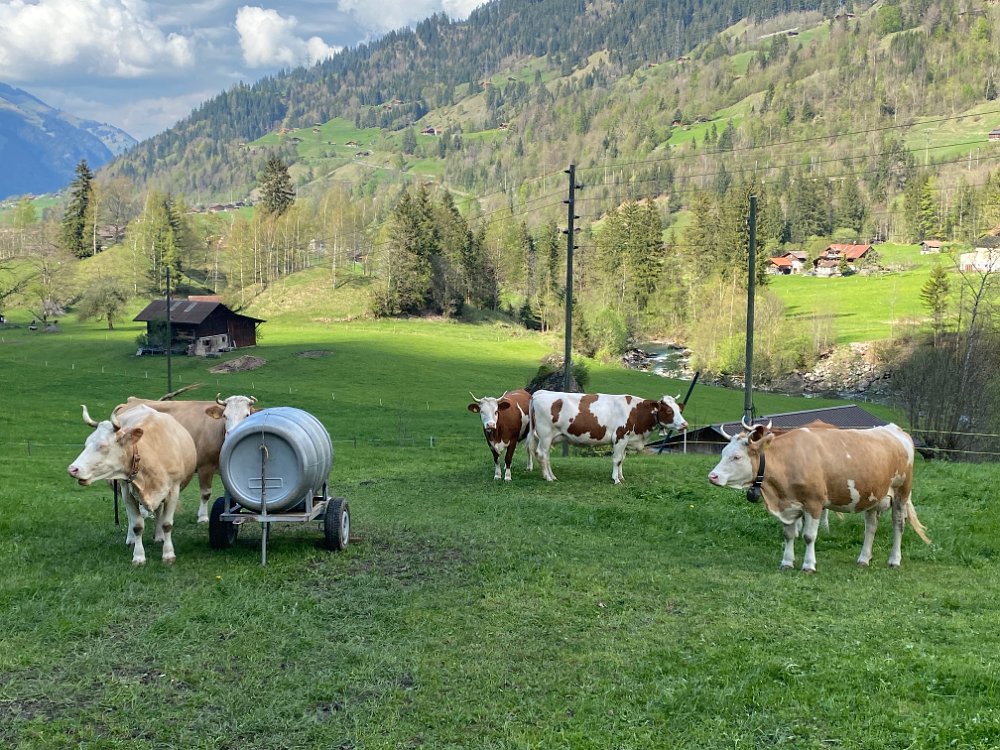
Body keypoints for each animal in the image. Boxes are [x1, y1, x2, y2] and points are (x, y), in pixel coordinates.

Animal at [69, 405, 197, 565]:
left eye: (103, 446)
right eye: (86, 444)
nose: (72, 469)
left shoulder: (173, 490)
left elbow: (167, 524)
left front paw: (168, 554)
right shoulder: (127, 492)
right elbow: (137, 525)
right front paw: (139, 556)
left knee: (159, 512)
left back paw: (159, 536)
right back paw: (131, 540)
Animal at [113, 393, 257, 523]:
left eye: (247, 415)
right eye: (225, 416)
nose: (232, 433)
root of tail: (131, 401)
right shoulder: (205, 466)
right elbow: (206, 493)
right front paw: (203, 517)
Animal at [528, 390, 688, 484]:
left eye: (679, 410)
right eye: (668, 411)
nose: (685, 424)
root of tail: (539, 394)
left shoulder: (626, 439)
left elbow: (622, 459)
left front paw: (621, 476)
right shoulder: (620, 436)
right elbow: (617, 459)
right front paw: (616, 479)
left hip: (549, 437)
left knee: (546, 456)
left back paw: (552, 475)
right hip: (545, 434)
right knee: (541, 454)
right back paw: (548, 478)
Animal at [708, 419, 931, 572]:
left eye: (737, 457)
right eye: (723, 453)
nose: (712, 476)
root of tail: (894, 429)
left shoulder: (814, 503)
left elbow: (809, 536)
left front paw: (808, 565)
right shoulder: (788, 504)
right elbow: (788, 534)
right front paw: (787, 562)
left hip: (902, 492)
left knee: (898, 525)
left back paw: (894, 560)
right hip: (873, 495)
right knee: (870, 528)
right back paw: (863, 558)